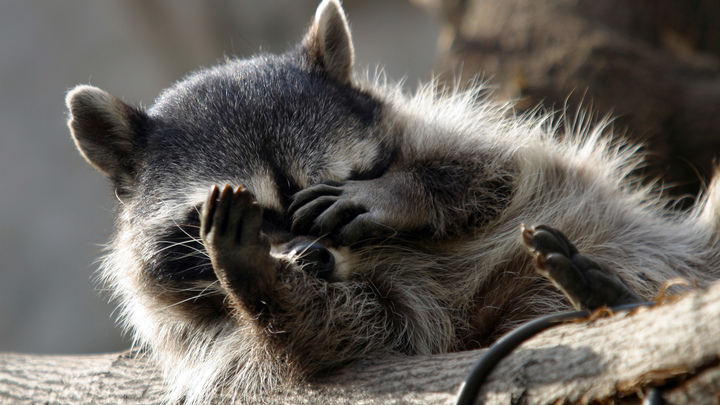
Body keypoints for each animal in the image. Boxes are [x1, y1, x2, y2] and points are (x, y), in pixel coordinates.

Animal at [64, 0, 716, 402]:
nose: (312, 260)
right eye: (257, 216)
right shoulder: (221, 340)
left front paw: (399, 195)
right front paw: (256, 276)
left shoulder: (452, 132)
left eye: (337, 179)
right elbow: (336, 333)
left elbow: (493, 171)